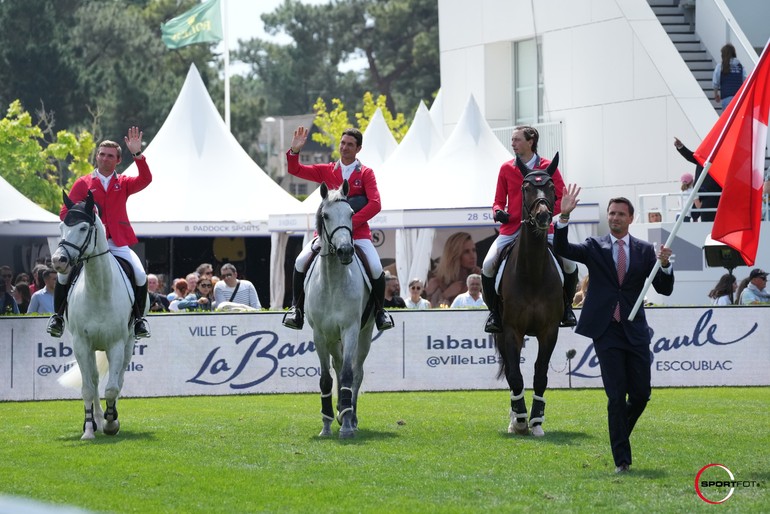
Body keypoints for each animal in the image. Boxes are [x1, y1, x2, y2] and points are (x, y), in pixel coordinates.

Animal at [51, 190, 139, 438]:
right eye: (61, 226)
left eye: (83, 228)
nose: (58, 261)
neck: (98, 289)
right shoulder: (81, 344)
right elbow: (88, 389)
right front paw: (89, 429)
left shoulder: (116, 343)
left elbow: (112, 389)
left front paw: (112, 423)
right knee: (94, 378)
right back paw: (97, 419)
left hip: (128, 343)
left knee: (118, 379)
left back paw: (109, 418)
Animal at [308, 180, 376, 436]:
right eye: (325, 216)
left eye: (351, 214)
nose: (346, 251)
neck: (333, 282)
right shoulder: (319, 334)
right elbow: (327, 379)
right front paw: (327, 423)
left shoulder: (351, 329)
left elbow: (348, 375)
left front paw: (346, 425)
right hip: (331, 338)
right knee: (336, 367)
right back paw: (339, 412)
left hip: (364, 334)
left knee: (356, 372)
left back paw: (351, 416)